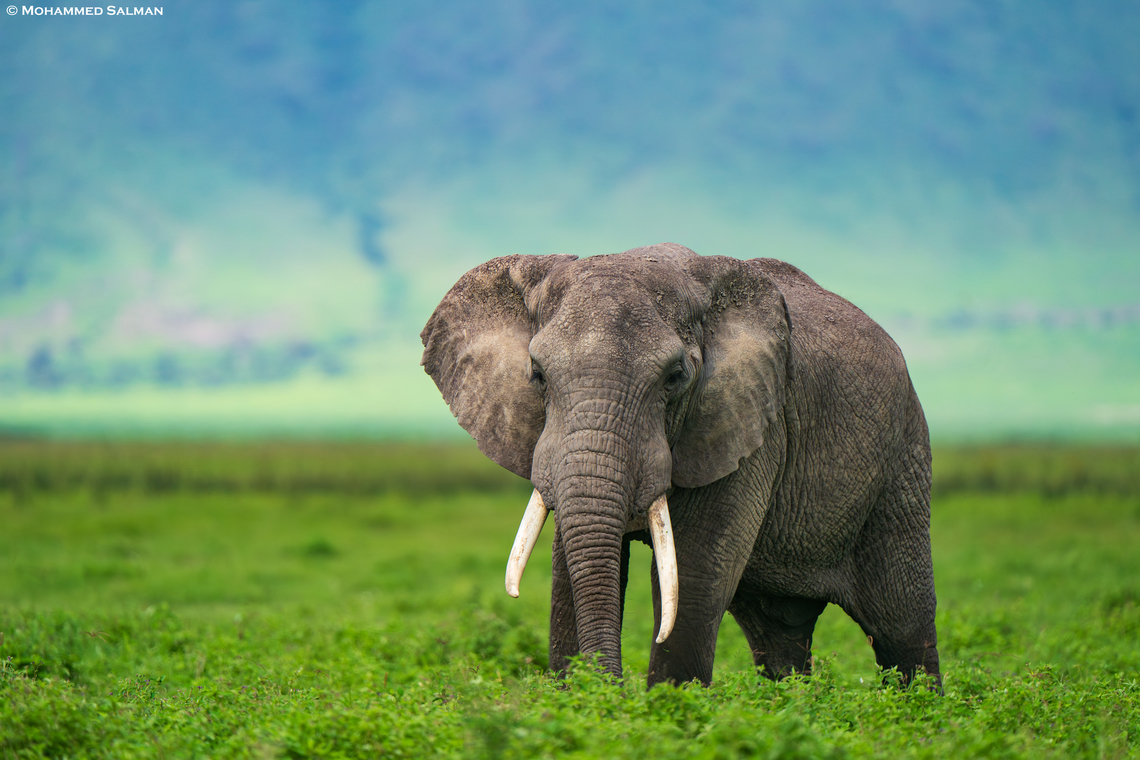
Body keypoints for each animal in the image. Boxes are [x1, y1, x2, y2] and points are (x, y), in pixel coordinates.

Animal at [420, 243, 939, 689]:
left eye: (675, 377)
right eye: (538, 375)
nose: (613, 692)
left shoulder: (748, 424)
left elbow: (691, 574)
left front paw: (667, 706)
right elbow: (569, 568)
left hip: (903, 459)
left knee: (902, 623)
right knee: (779, 633)